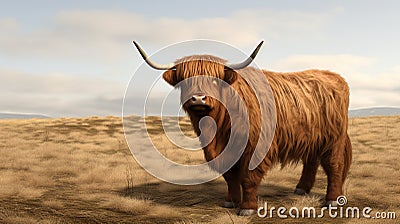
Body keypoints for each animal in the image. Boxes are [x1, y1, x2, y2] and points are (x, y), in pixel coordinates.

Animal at [134, 41, 350, 216]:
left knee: (334, 165)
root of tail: (335, 76)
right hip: (312, 138)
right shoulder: (223, 152)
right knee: (311, 161)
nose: (198, 98)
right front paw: (231, 202)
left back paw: (332, 200)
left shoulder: (254, 149)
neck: (218, 129)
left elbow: (248, 178)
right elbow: (230, 177)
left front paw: (247, 208)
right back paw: (301, 189)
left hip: (334, 139)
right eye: (186, 80)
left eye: (215, 80)